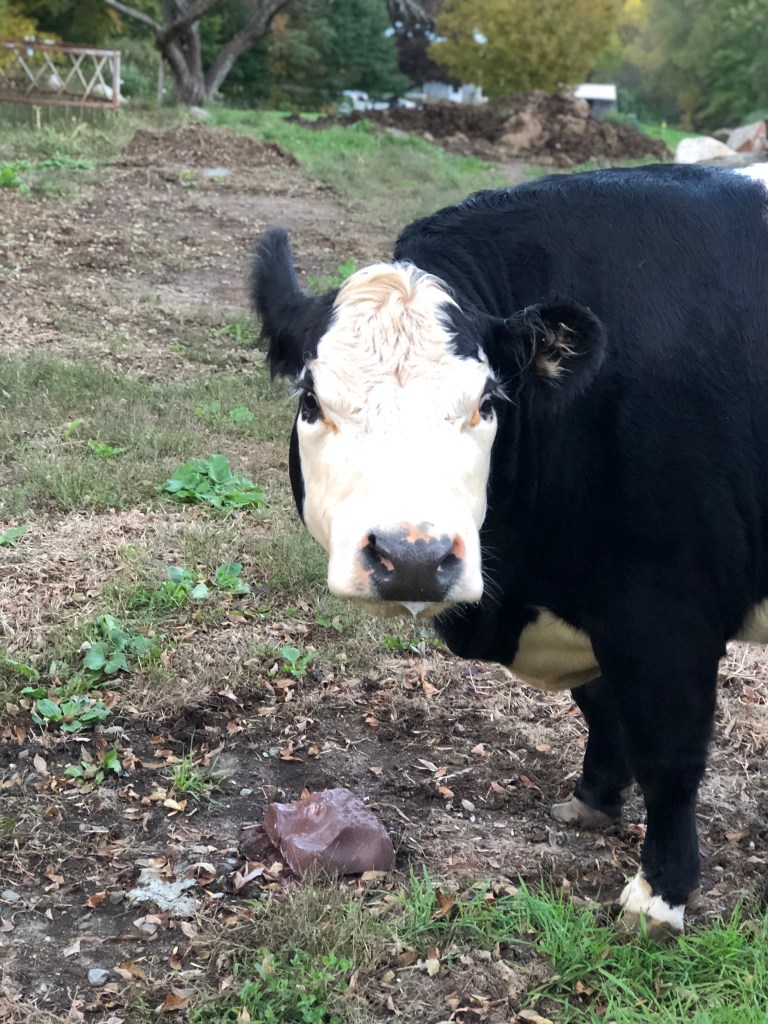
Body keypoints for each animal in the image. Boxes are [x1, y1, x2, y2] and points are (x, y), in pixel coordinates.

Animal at [250, 163, 768, 935]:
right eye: (311, 401)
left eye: (488, 402)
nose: (412, 556)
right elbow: (600, 704)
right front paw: (593, 801)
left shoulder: (668, 610)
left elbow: (670, 755)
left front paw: (661, 896)